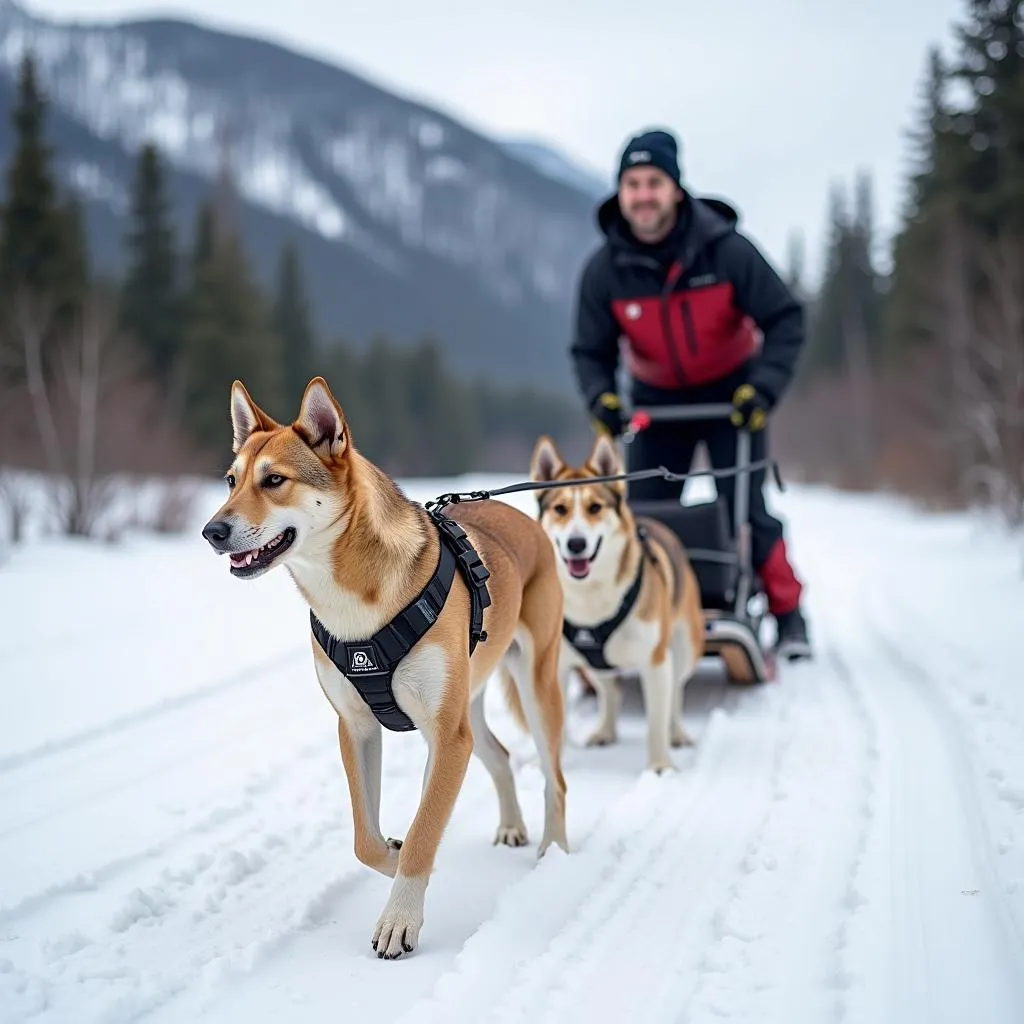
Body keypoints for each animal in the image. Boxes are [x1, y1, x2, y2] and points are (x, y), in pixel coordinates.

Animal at [199, 378, 569, 958]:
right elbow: (367, 841)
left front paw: (400, 919)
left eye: (274, 480)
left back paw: (555, 851)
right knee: (501, 755)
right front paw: (394, 856)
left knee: (556, 780)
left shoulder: (445, 734)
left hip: (533, 690)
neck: (352, 599)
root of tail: (523, 519)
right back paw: (511, 826)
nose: (212, 530)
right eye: (231, 481)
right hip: (465, 707)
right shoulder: (358, 727)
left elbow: (423, 832)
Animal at [528, 432, 704, 774]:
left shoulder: (655, 661)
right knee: (609, 689)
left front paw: (660, 767)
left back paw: (677, 733)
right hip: (595, 662)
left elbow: (656, 721)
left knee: (676, 693)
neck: (590, 596)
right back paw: (605, 730)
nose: (577, 544)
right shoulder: (558, 666)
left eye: (595, 507)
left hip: (684, 648)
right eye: (560, 509)